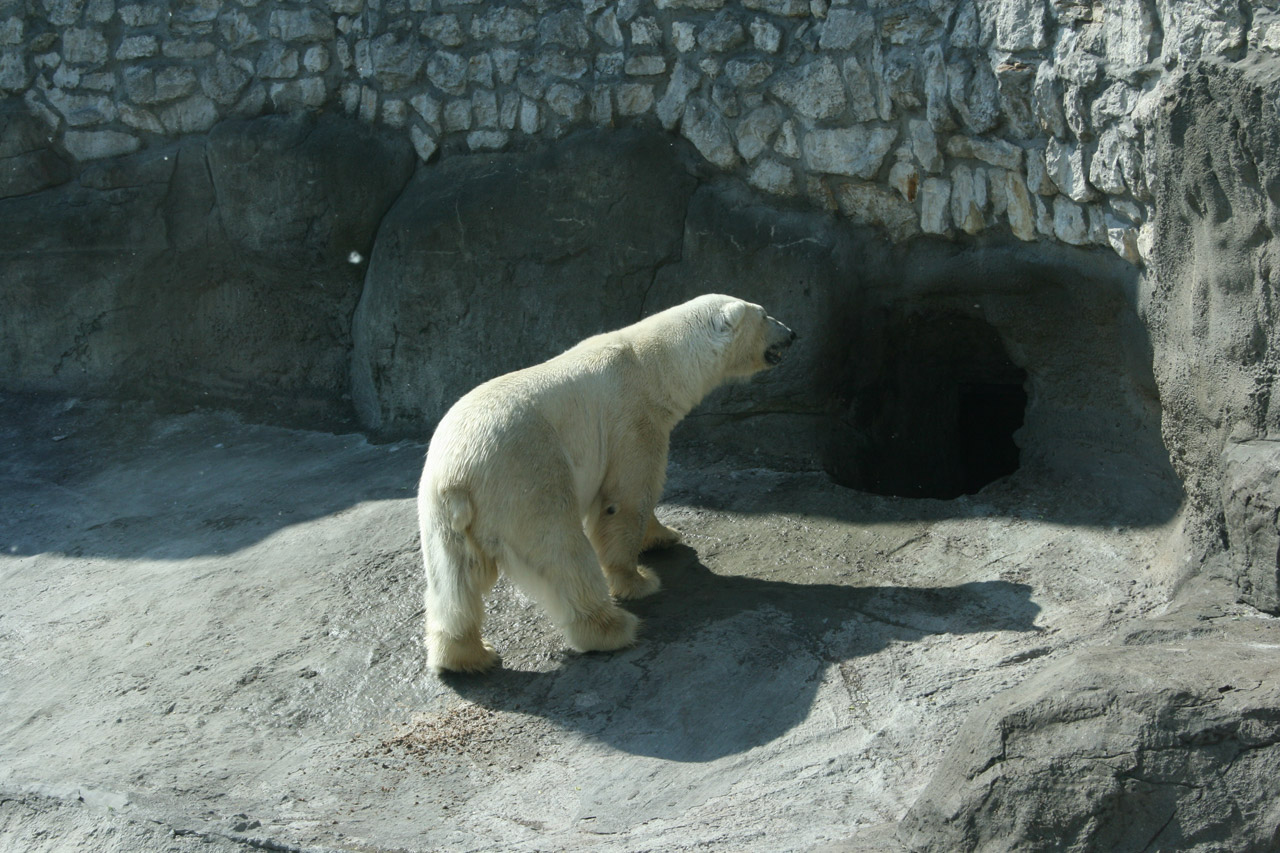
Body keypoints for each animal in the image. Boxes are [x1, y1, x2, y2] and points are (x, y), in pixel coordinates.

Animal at [419, 292, 793, 671]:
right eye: (765, 315)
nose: (791, 334)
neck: (654, 364)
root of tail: (458, 476)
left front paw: (664, 535)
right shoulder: (632, 419)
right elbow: (627, 498)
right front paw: (637, 578)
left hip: (440, 514)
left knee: (453, 581)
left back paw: (467, 655)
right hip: (527, 477)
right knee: (561, 552)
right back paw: (613, 628)